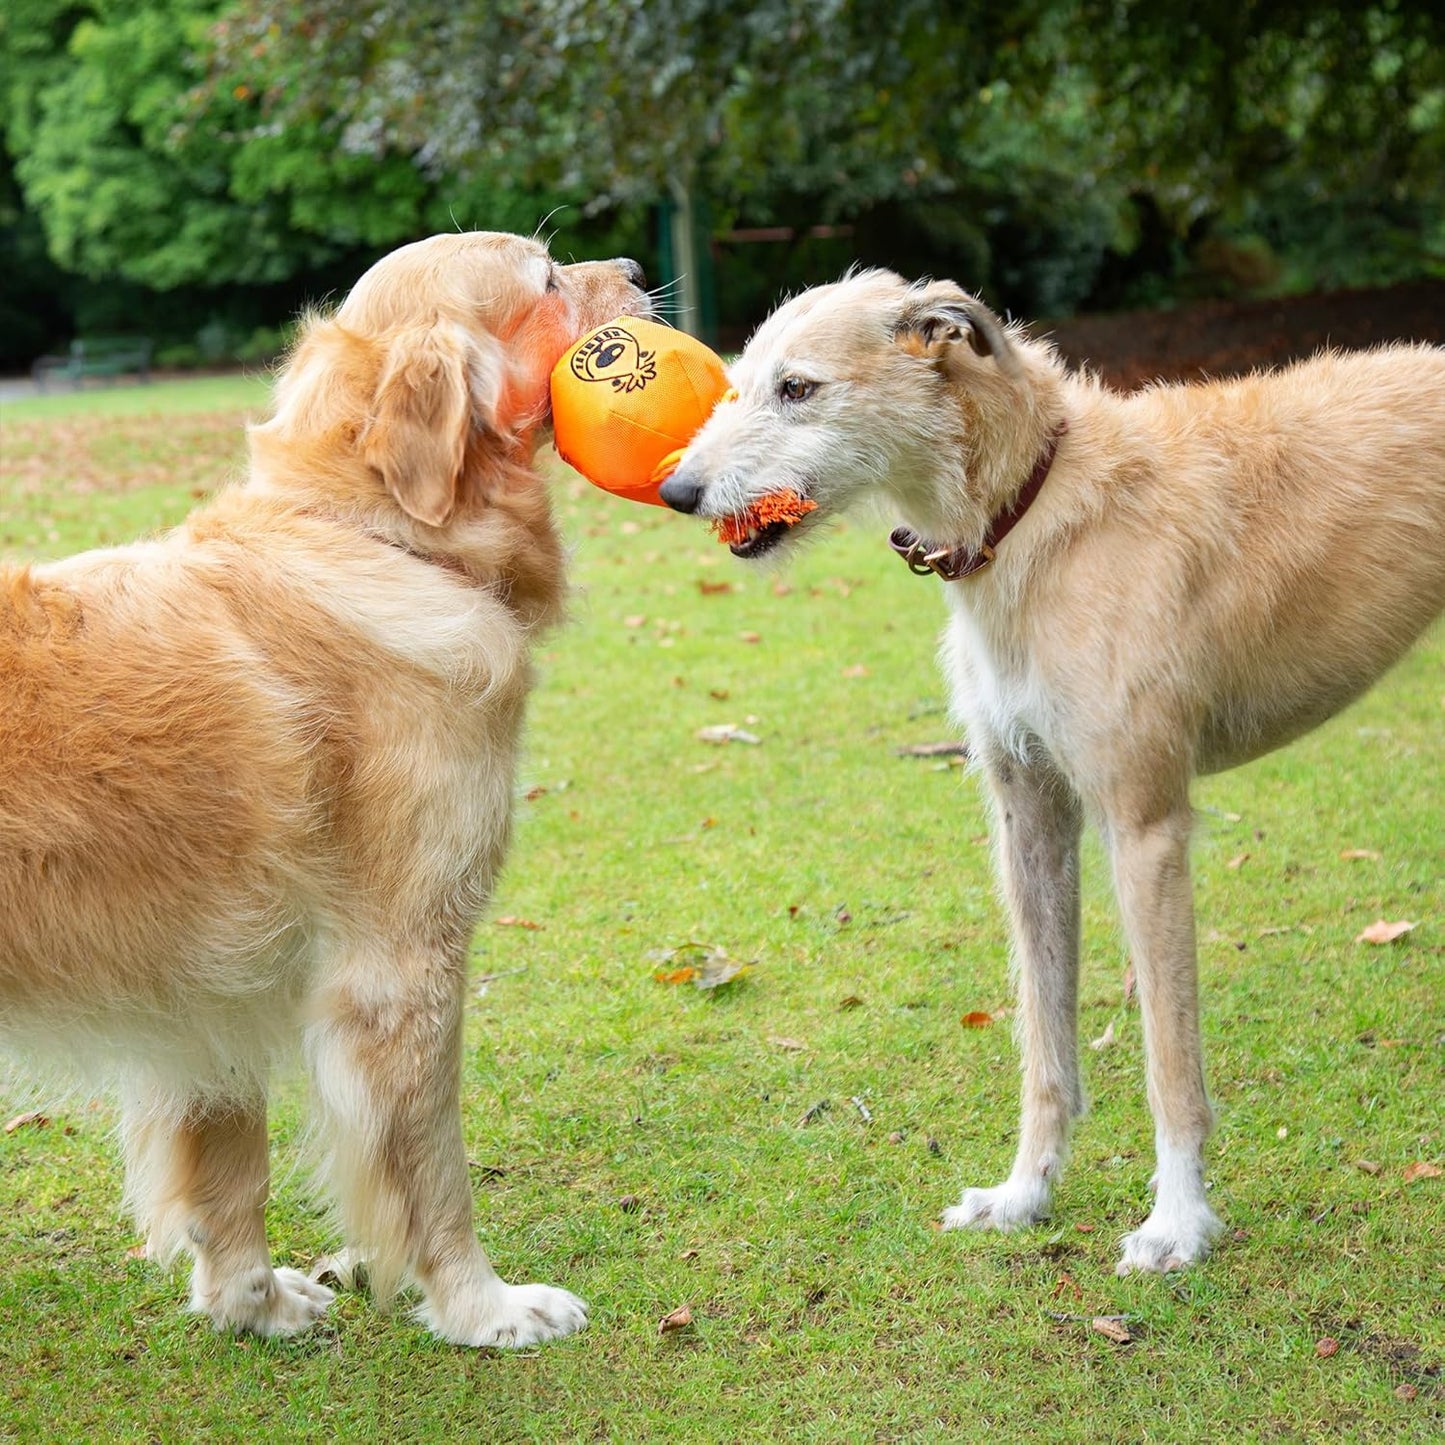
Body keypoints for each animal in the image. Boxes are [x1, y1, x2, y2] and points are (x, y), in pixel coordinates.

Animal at [0, 228, 644, 1340]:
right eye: (549, 279)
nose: (641, 268)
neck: (374, 534)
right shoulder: (402, 967)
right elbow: (432, 1171)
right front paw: (482, 1306)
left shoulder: (207, 992)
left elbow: (229, 1169)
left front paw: (250, 1304)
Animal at [661, 271, 1445, 1277]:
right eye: (741, 379)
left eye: (797, 387)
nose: (676, 490)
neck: (1030, 506)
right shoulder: (1027, 809)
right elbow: (1043, 1039)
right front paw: (1023, 1192)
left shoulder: (1144, 825)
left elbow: (1168, 1064)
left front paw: (1177, 1222)